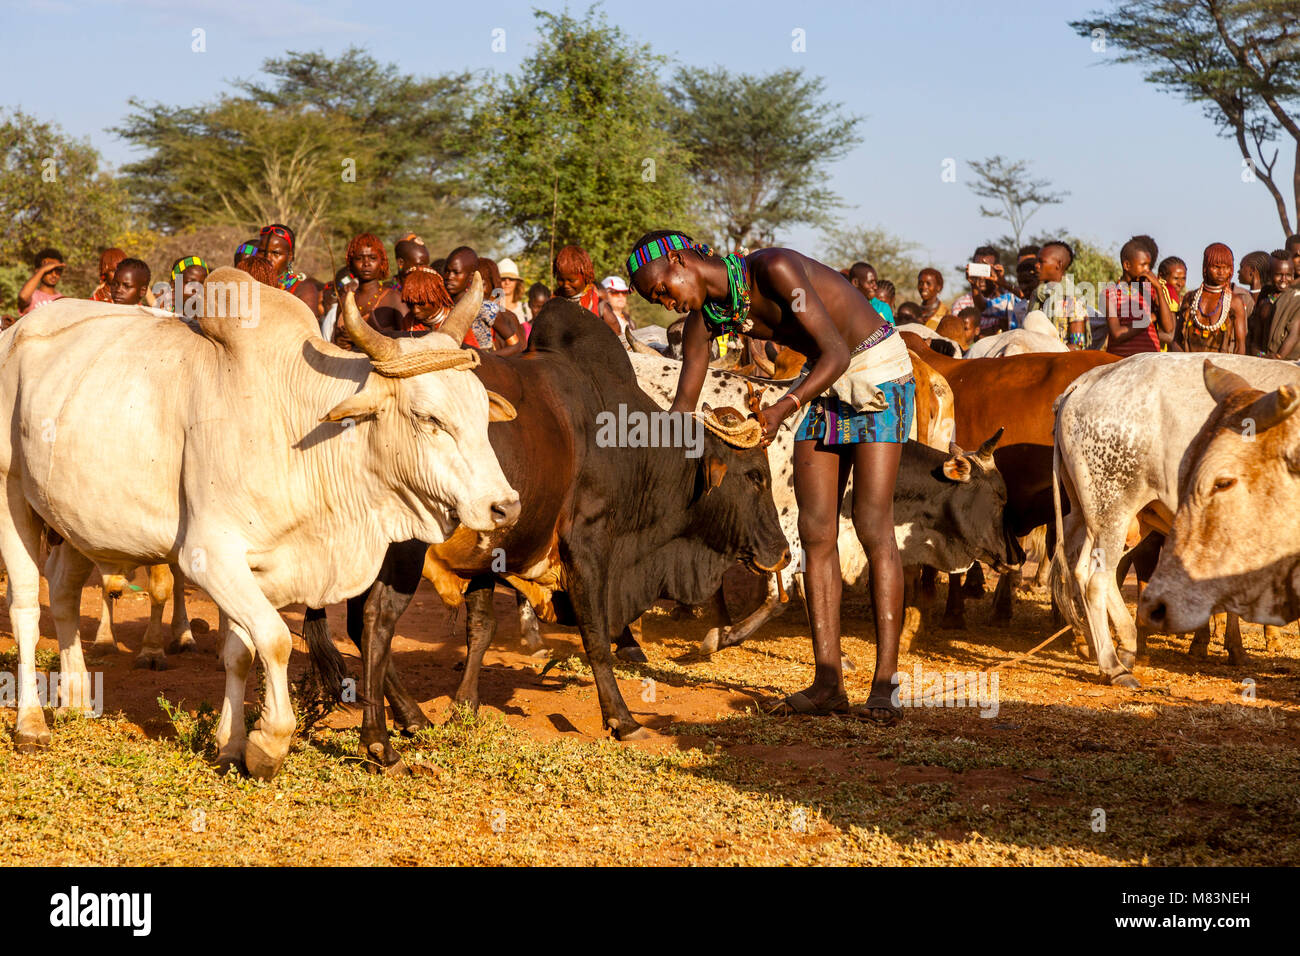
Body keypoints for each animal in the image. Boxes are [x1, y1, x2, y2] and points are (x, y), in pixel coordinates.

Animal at [0, 270, 517, 780]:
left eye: (480, 412)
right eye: (428, 417)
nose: (504, 507)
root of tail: (14, 332)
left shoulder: (260, 566)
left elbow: (240, 652)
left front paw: (229, 747)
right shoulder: (210, 557)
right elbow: (275, 641)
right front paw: (267, 744)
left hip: (74, 520)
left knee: (63, 593)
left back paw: (74, 699)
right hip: (12, 500)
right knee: (26, 605)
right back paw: (31, 724)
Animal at [1050, 356, 1300, 686]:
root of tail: (1083, 382)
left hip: (1098, 513)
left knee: (1078, 569)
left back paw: (1111, 645)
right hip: (1113, 507)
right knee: (1094, 580)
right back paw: (1113, 664)